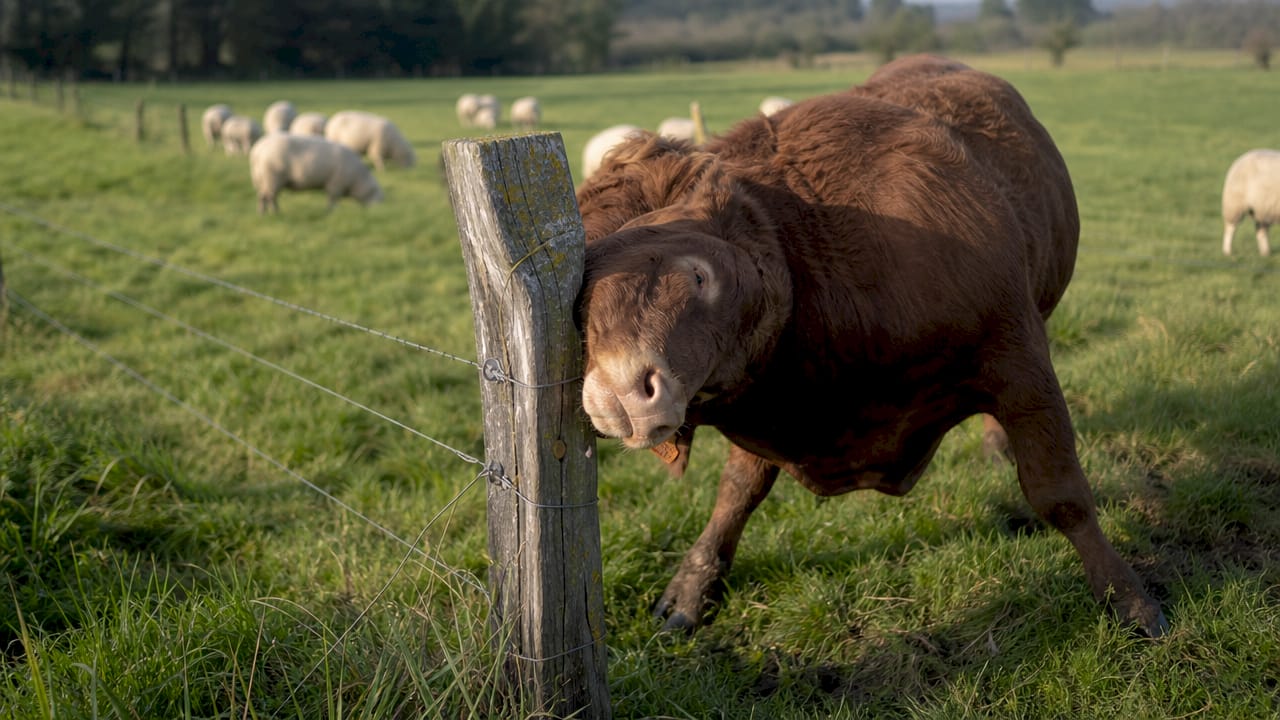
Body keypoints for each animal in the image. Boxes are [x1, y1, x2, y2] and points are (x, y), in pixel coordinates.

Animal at [574, 55, 1168, 638]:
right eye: (575, 296)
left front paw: (1127, 597)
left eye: (698, 275)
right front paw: (692, 588)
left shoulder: (1020, 360)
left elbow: (1060, 494)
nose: (624, 393)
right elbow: (737, 492)